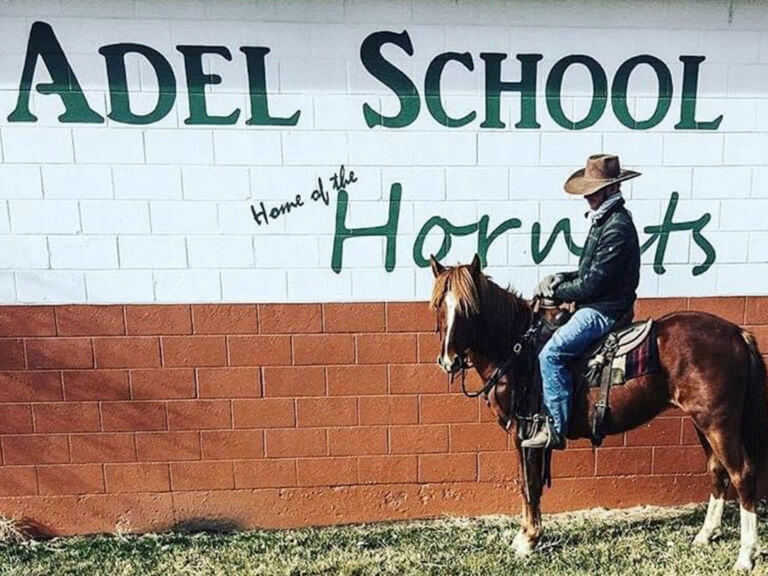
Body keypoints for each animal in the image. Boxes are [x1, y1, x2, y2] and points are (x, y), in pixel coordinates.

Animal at [428, 256, 764, 572]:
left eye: (470, 308)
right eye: (438, 306)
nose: (449, 360)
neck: (518, 350)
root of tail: (737, 333)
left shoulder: (526, 433)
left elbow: (530, 485)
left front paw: (527, 540)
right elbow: (527, 484)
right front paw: (525, 536)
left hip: (718, 423)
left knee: (742, 474)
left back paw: (745, 556)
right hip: (703, 423)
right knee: (718, 472)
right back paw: (705, 536)